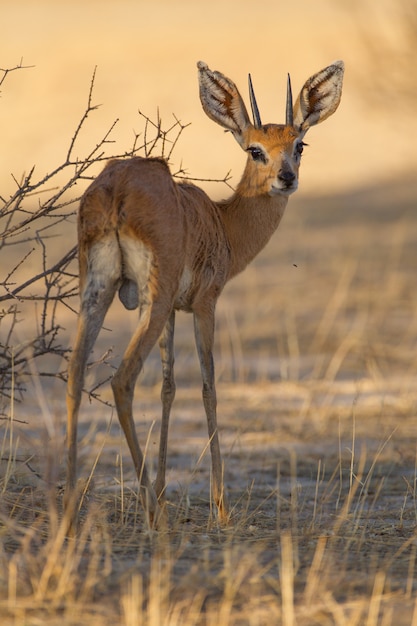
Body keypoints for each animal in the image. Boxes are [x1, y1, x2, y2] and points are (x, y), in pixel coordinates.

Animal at [66, 58, 344, 528]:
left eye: (299, 144)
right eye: (255, 149)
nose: (286, 178)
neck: (222, 222)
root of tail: (117, 188)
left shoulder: (174, 313)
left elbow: (169, 386)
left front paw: (165, 491)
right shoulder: (204, 304)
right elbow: (209, 386)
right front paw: (220, 506)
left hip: (99, 292)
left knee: (74, 373)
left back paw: (66, 506)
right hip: (151, 299)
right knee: (122, 380)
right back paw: (149, 512)